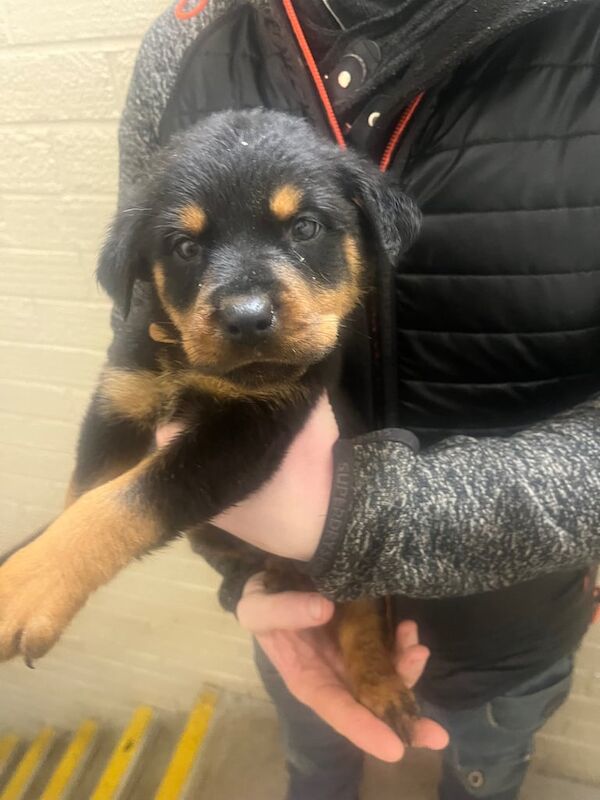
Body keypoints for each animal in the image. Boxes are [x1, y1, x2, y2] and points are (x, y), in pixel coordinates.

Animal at [0, 109, 422, 740]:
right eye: (184, 247)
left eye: (305, 228)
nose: (247, 319)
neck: (193, 368)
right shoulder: (120, 402)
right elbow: (82, 497)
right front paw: (26, 559)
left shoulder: (242, 435)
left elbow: (122, 503)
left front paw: (28, 585)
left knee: (362, 612)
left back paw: (381, 685)